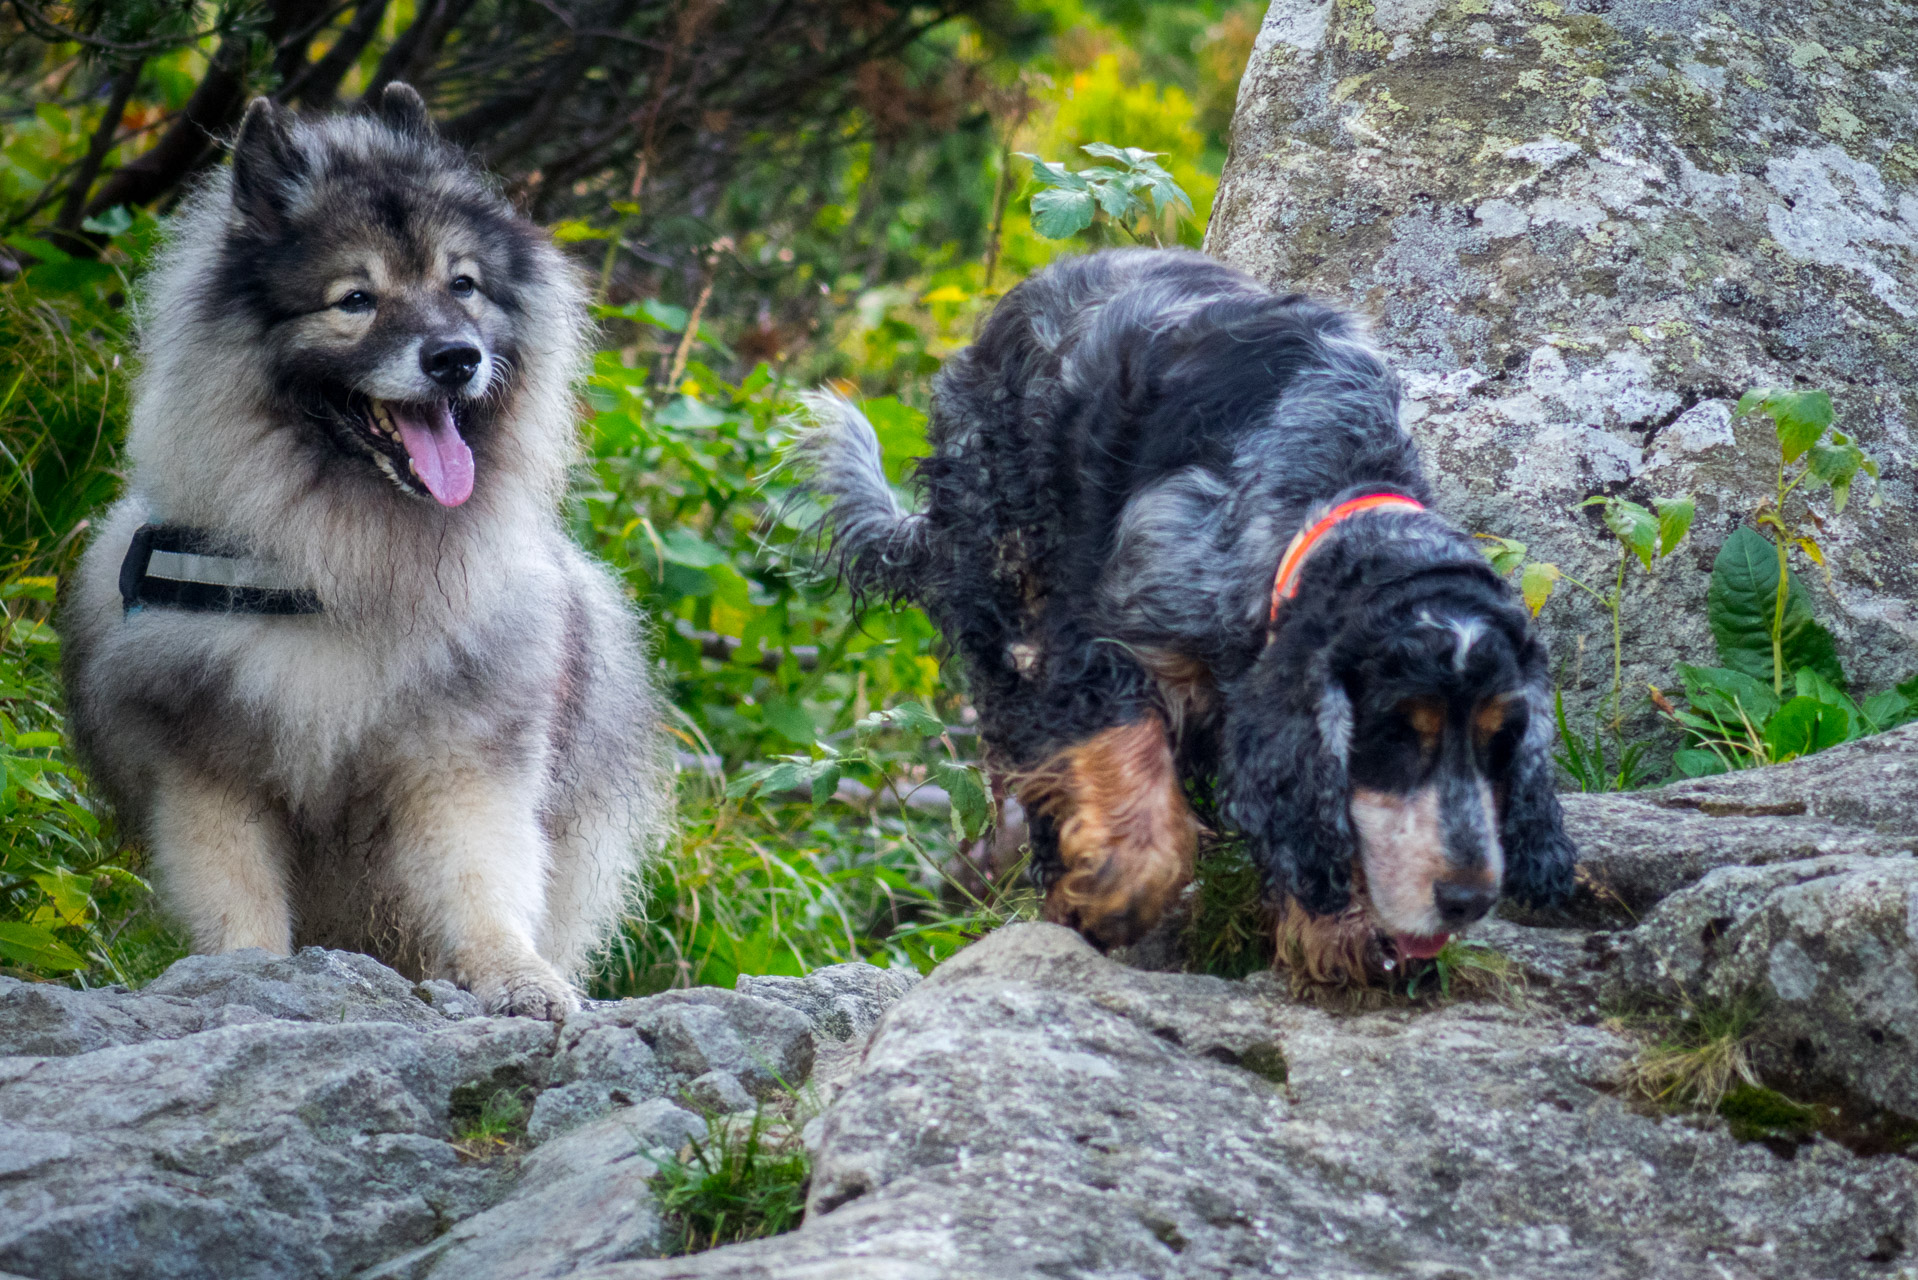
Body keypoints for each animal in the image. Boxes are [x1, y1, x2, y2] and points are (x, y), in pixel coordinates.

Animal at [59, 84, 671, 1013]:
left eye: (463, 285)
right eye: (355, 299)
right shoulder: (207, 774)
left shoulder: (463, 758)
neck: (342, 563)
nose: (456, 358)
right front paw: (246, 978)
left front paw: (515, 977)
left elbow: (482, 879)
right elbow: (237, 896)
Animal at [794, 253, 1572, 990]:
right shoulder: (1108, 643)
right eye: (1399, 735)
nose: (1469, 899)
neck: (1327, 489)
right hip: (1003, 577)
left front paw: (1345, 928)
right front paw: (1113, 894)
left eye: (1500, 740)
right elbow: (1132, 769)